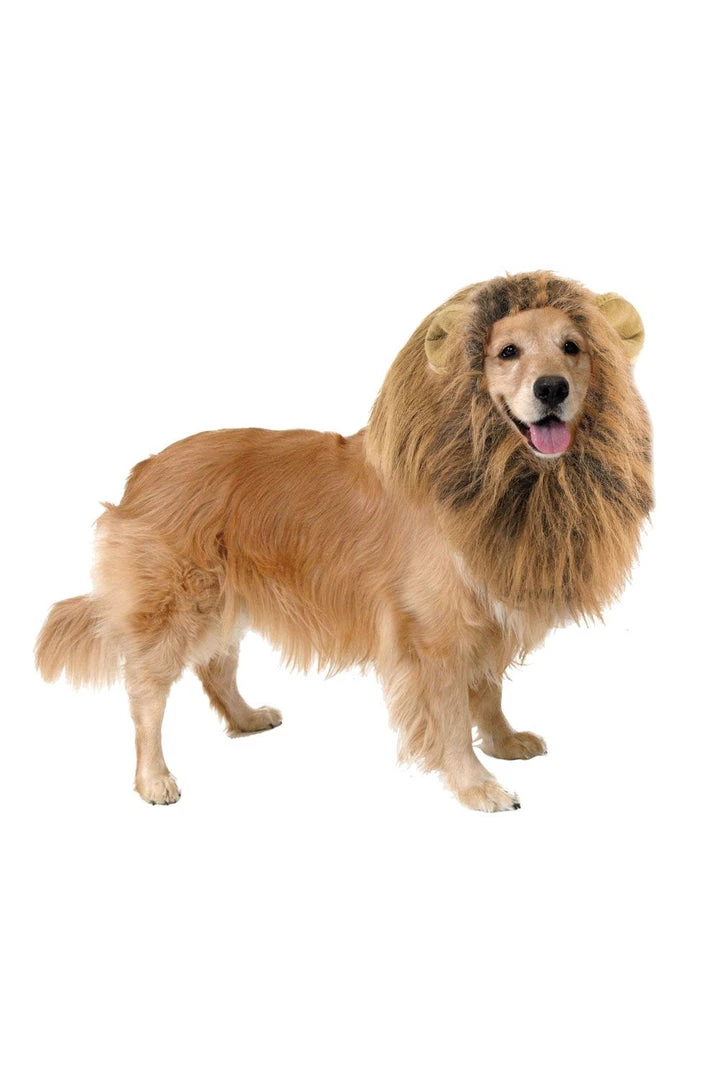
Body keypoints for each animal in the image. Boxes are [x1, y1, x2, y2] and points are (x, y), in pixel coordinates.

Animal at [35, 271, 653, 811]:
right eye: (507, 353)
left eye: (572, 347)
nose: (553, 388)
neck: (494, 467)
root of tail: (144, 470)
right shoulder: (435, 633)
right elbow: (453, 716)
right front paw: (477, 785)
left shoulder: (485, 612)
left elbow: (489, 691)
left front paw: (503, 741)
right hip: (176, 603)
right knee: (145, 696)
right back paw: (154, 778)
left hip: (226, 596)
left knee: (216, 668)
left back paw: (246, 719)